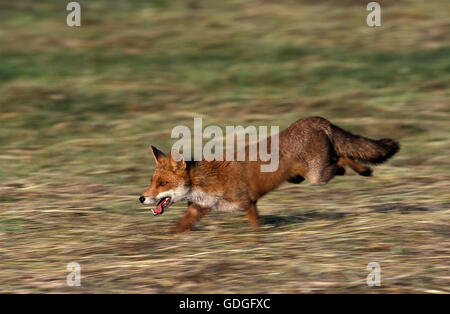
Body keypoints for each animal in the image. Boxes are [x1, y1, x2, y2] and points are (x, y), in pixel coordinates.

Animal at [139, 116, 400, 232]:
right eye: (152, 182)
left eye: (162, 183)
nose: (141, 198)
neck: (205, 181)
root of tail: (312, 120)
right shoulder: (198, 209)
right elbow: (177, 229)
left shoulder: (248, 203)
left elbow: (256, 229)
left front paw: (258, 243)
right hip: (313, 174)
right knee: (341, 161)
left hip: (319, 175)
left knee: (343, 160)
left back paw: (364, 170)